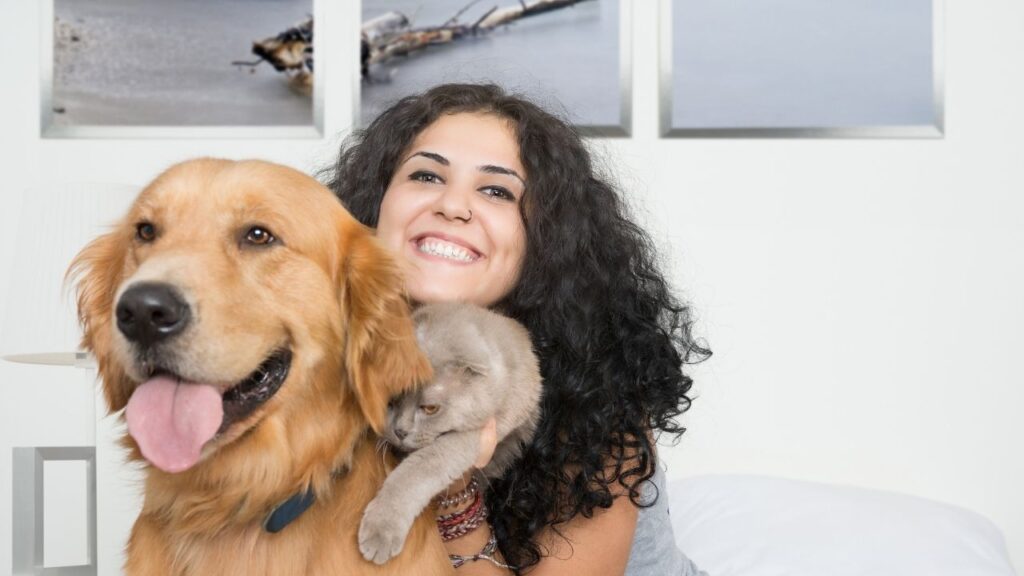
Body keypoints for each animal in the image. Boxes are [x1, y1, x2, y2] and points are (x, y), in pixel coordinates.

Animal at [358, 303, 544, 561]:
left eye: (430, 408)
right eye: (391, 401)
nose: (400, 431)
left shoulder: (473, 434)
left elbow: (415, 471)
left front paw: (380, 532)